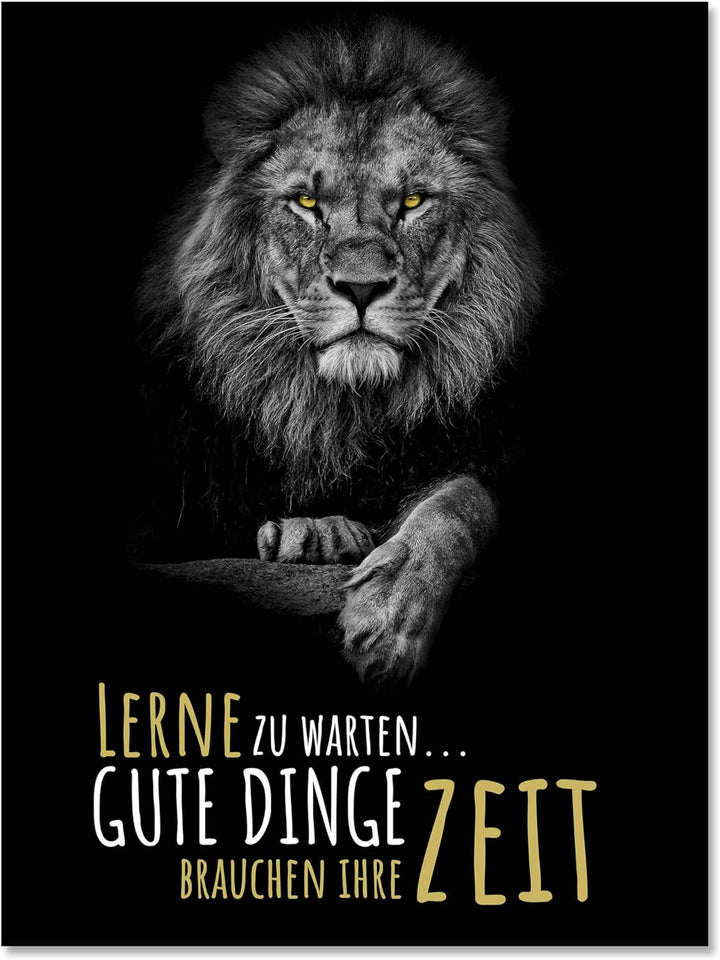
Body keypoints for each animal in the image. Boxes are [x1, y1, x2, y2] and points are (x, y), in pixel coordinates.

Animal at [136, 17, 545, 686]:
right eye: (306, 203)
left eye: (412, 202)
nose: (360, 286)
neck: (339, 413)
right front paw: (316, 535)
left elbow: (462, 501)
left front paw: (389, 615)